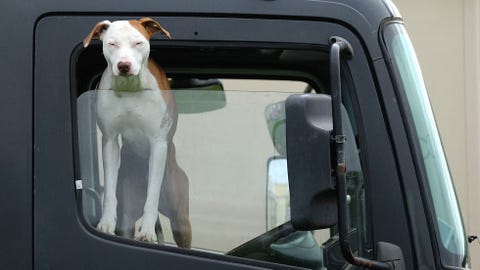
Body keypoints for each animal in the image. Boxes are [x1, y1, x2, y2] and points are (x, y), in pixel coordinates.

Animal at [84, 17, 191, 248]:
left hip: (180, 218)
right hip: (129, 211)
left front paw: (148, 232)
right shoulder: (110, 140)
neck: (130, 88)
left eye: (138, 43)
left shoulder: (158, 143)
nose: (124, 65)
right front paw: (106, 223)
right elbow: (110, 190)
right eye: (112, 44)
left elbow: (152, 194)